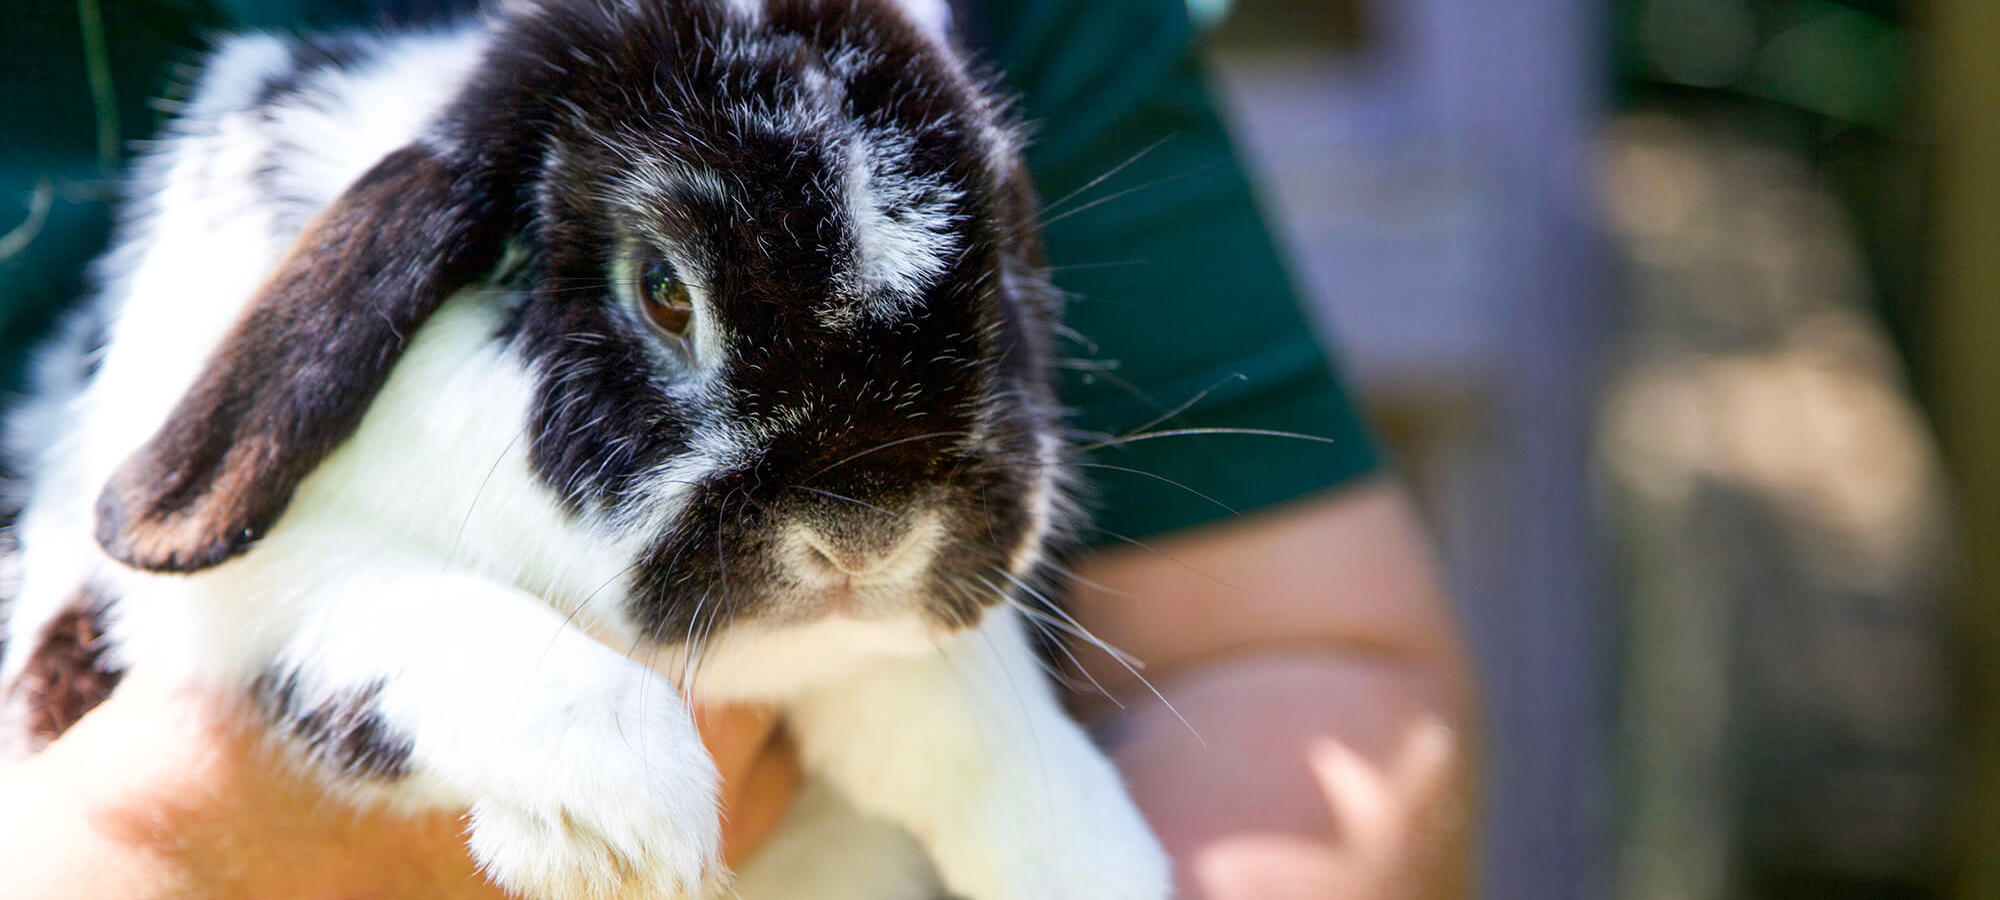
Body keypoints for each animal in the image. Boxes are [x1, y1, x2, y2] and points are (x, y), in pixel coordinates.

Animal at [0, 0, 1174, 897]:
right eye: (662, 291)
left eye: (998, 284)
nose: (870, 534)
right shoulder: (226, 603)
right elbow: (416, 608)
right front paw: (625, 824)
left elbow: (961, 708)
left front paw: (1090, 859)